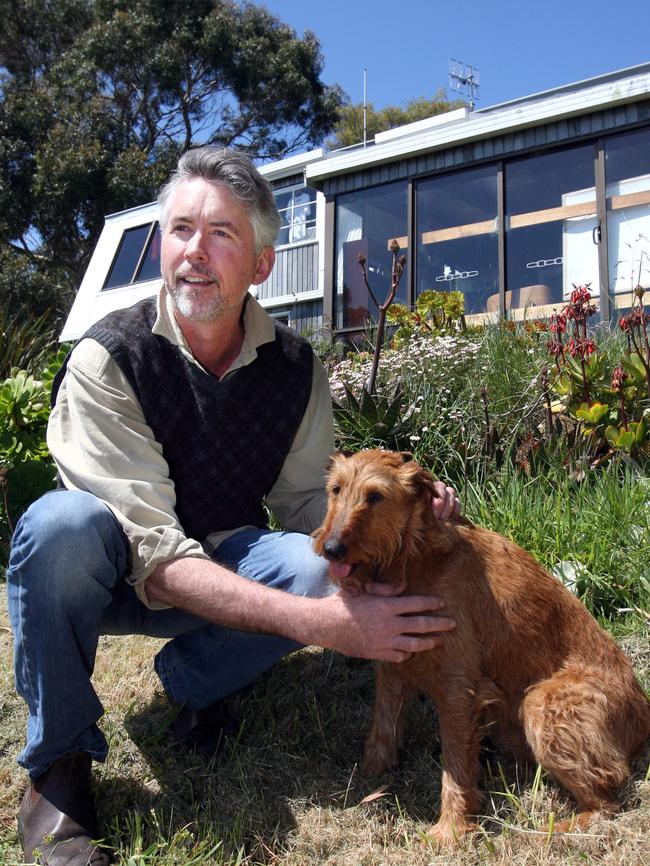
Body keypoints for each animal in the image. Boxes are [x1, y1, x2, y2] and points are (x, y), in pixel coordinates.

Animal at [312, 448, 644, 840]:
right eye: (335, 489)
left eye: (376, 496)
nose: (332, 549)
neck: (414, 556)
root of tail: (644, 715)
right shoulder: (393, 659)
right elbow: (383, 724)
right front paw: (371, 773)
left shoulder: (458, 685)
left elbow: (455, 763)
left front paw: (451, 830)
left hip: (542, 703)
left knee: (610, 794)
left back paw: (564, 826)